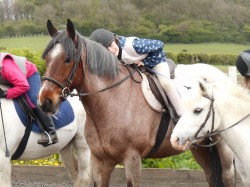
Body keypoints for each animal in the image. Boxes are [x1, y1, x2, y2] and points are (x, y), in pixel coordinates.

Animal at [38, 19, 234, 187]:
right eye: (46, 58)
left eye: (67, 59)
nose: (45, 102)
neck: (111, 101)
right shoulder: (100, 161)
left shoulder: (132, 157)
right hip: (200, 148)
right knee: (211, 175)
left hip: (223, 148)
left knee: (228, 177)